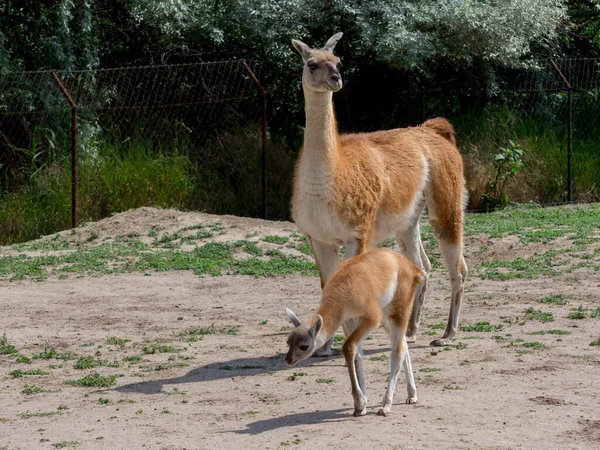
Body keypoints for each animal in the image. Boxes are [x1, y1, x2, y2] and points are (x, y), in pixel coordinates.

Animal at [284, 248, 422, 416]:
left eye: (304, 346)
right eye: (288, 342)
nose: (288, 359)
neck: (343, 291)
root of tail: (411, 267)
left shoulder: (370, 318)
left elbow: (348, 347)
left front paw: (359, 403)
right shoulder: (348, 321)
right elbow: (357, 354)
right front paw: (362, 404)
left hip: (398, 312)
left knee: (398, 352)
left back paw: (386, 405)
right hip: (386, 316)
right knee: (403, 345)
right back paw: (412, 395)